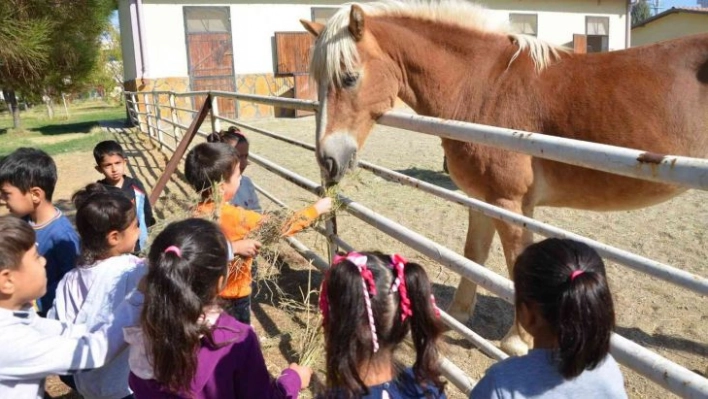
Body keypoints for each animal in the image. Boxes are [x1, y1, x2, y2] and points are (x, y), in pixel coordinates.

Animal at [298, 0, 708, 356]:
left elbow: (515, 265)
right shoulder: (483, 199)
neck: (483, 86)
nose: (328, 159)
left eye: (349, 77)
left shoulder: (510, 204)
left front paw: (516, 341)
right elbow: (473, 255)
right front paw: (458, 315)